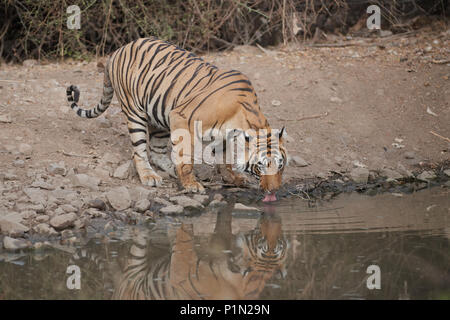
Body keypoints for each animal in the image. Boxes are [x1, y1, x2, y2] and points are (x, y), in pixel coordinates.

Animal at [65, 37, 286, 198]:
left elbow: (224, 160)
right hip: (135, 112)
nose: (274, 191)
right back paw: (149, 176)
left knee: (157, 151)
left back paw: (171, 170)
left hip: (159, 118)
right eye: (261, 165)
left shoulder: (221, 135)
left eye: (281, 165)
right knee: (140, 152)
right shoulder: (182, 117)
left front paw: (233, 179)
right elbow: (186, 156)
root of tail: (117, 51)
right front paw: (191, 184)